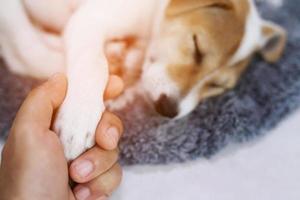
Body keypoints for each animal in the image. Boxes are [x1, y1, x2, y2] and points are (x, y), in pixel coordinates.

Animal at [0, 0, 286, 159]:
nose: (167, 109)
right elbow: (93, 62)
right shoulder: (89, 20)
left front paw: (130, 59)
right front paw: (78, 118)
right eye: (197, 47)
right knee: (22, 50)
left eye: (217, 86)